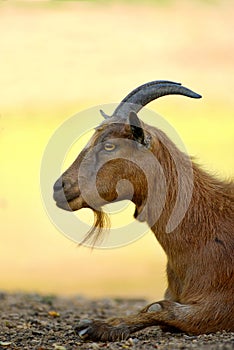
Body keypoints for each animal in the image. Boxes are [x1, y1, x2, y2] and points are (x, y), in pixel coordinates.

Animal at [53, 80, 234, 342]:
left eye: (109, 145)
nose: (60, 187)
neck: (206, 231)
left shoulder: (221, 305)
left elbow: (164, 309)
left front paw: (96, 326)